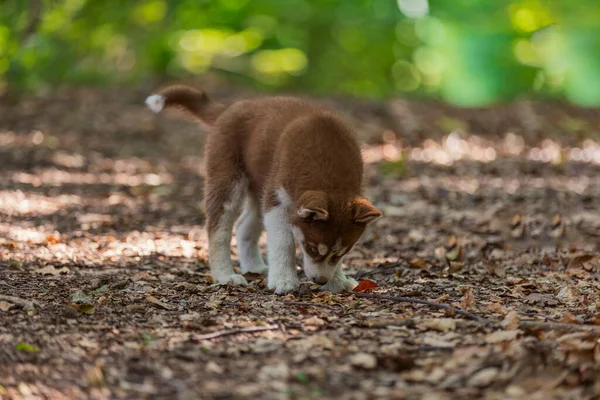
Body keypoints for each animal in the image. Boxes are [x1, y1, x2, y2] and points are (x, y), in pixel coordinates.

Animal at [145, 85, 380, 294]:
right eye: (312, 248)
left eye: (343, 252)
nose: (320, 280)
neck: (329, 173)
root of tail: (228, 108)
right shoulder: (277, 202)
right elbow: (283, 243)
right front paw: (283, 281)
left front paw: (338, 281)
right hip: (227, 178)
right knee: (218, 229)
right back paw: (225, 275)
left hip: (259, 187)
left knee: (243, 225)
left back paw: (254, 268)